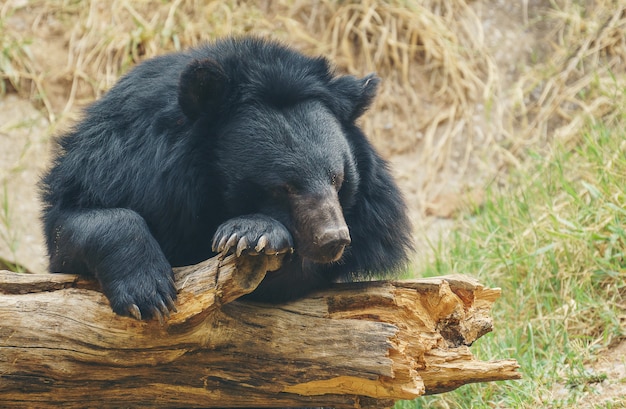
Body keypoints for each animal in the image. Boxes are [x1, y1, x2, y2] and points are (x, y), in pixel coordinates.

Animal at [39, 36, 412, 320]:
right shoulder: (114, 166)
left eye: (338, 179)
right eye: (283, 188)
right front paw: (148, 295)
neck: (207, 186)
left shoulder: (366, 221)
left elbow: (290, 279)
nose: (333, 240)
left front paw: (250, 234)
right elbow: (74, 224)